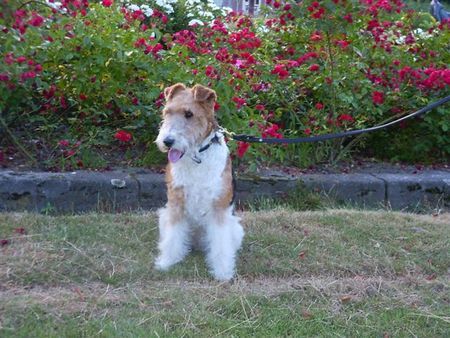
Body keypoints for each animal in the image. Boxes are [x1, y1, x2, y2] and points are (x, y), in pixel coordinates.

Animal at [156, 83, 246, 282]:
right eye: (167, 112)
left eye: (189, 114)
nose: (168, 141)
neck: (196, 157)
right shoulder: (176, 203)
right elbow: (173, 237)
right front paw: (166, 261)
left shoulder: (218, 207)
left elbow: (220, 244)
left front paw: (223, 272)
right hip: (164, 216)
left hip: (235, 228)